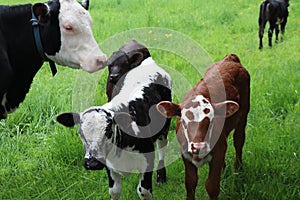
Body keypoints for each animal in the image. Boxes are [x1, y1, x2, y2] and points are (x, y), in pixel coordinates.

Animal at [57, 56, 172, 200]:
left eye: (108, 131)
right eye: (80, 133)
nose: (92, 163)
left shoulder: (147, 160)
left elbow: (144, 191)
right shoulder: (109, 165)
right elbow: (114, 191)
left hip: (164, 126)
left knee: (162, 147)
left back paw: (161, 176)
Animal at [156, 54, 250, 199]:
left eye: (211, 121)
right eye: (184, 122)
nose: (198, 146)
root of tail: (230, 59)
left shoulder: (218, 152)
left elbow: (212, 186)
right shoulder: (185, 155)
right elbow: (190, 183)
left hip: (243, 115)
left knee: (239, 140)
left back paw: (238, 168)